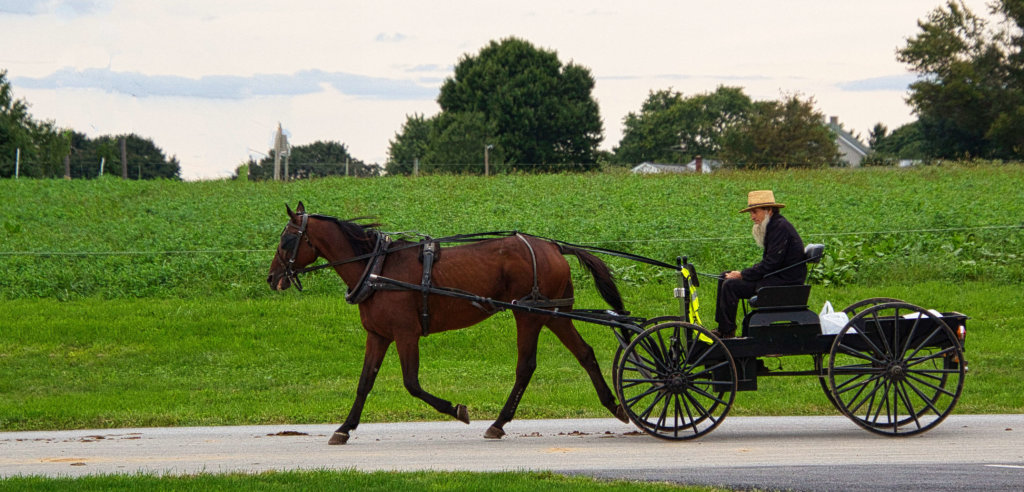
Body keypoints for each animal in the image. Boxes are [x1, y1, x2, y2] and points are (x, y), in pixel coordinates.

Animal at [268, 201, 626, 444]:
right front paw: (344, 428)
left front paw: (457, 410)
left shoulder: (406, 333)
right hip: (553, 314)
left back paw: (498, 422)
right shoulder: (378, 335)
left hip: (528, 314)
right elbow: (364, 383)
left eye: (287, 240)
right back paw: (615, 405)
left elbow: (411, 383)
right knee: (585, 353)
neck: (377, 268)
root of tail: (554, 246)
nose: (272, 278)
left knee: (526, 366)